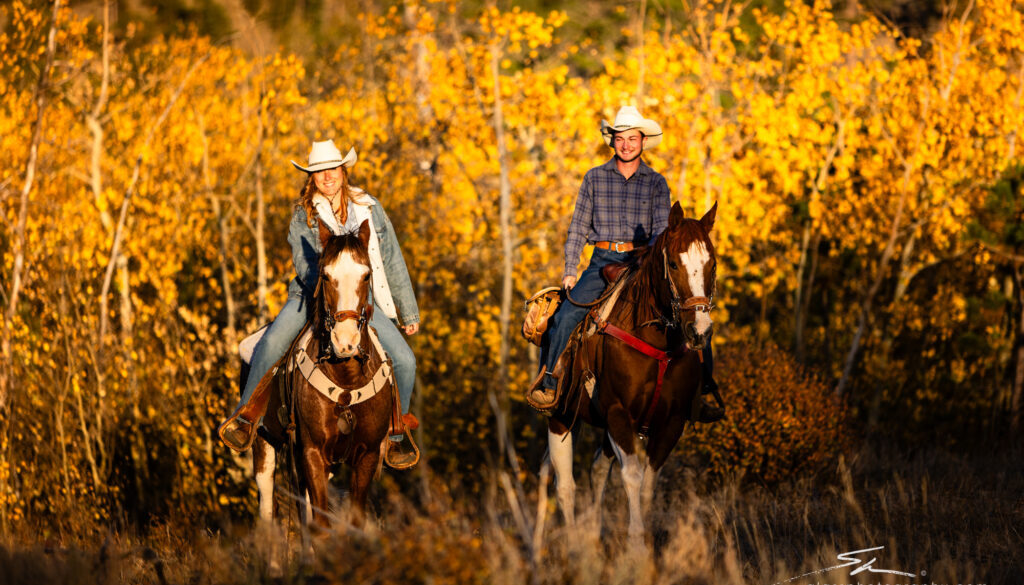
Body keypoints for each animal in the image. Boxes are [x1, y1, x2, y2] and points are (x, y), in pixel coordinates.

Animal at [253, 219, 393, 532]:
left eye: (366, 275)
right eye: (326, 276)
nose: (345, 342)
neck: (346, 381)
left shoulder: (366, 455)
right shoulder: (312, 452)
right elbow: (320, 524)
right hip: (265, 444)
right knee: (267, 506)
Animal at [548, 201, 716, 540]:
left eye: (713, 265)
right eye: (674, 265)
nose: (699, 331)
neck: (657, 342)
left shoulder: (671, 422)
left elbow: (648, 482)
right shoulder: (618, 414)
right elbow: (633, 477)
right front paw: (636, 545)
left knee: (597, 470)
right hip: (559, 416)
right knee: (565, 485)